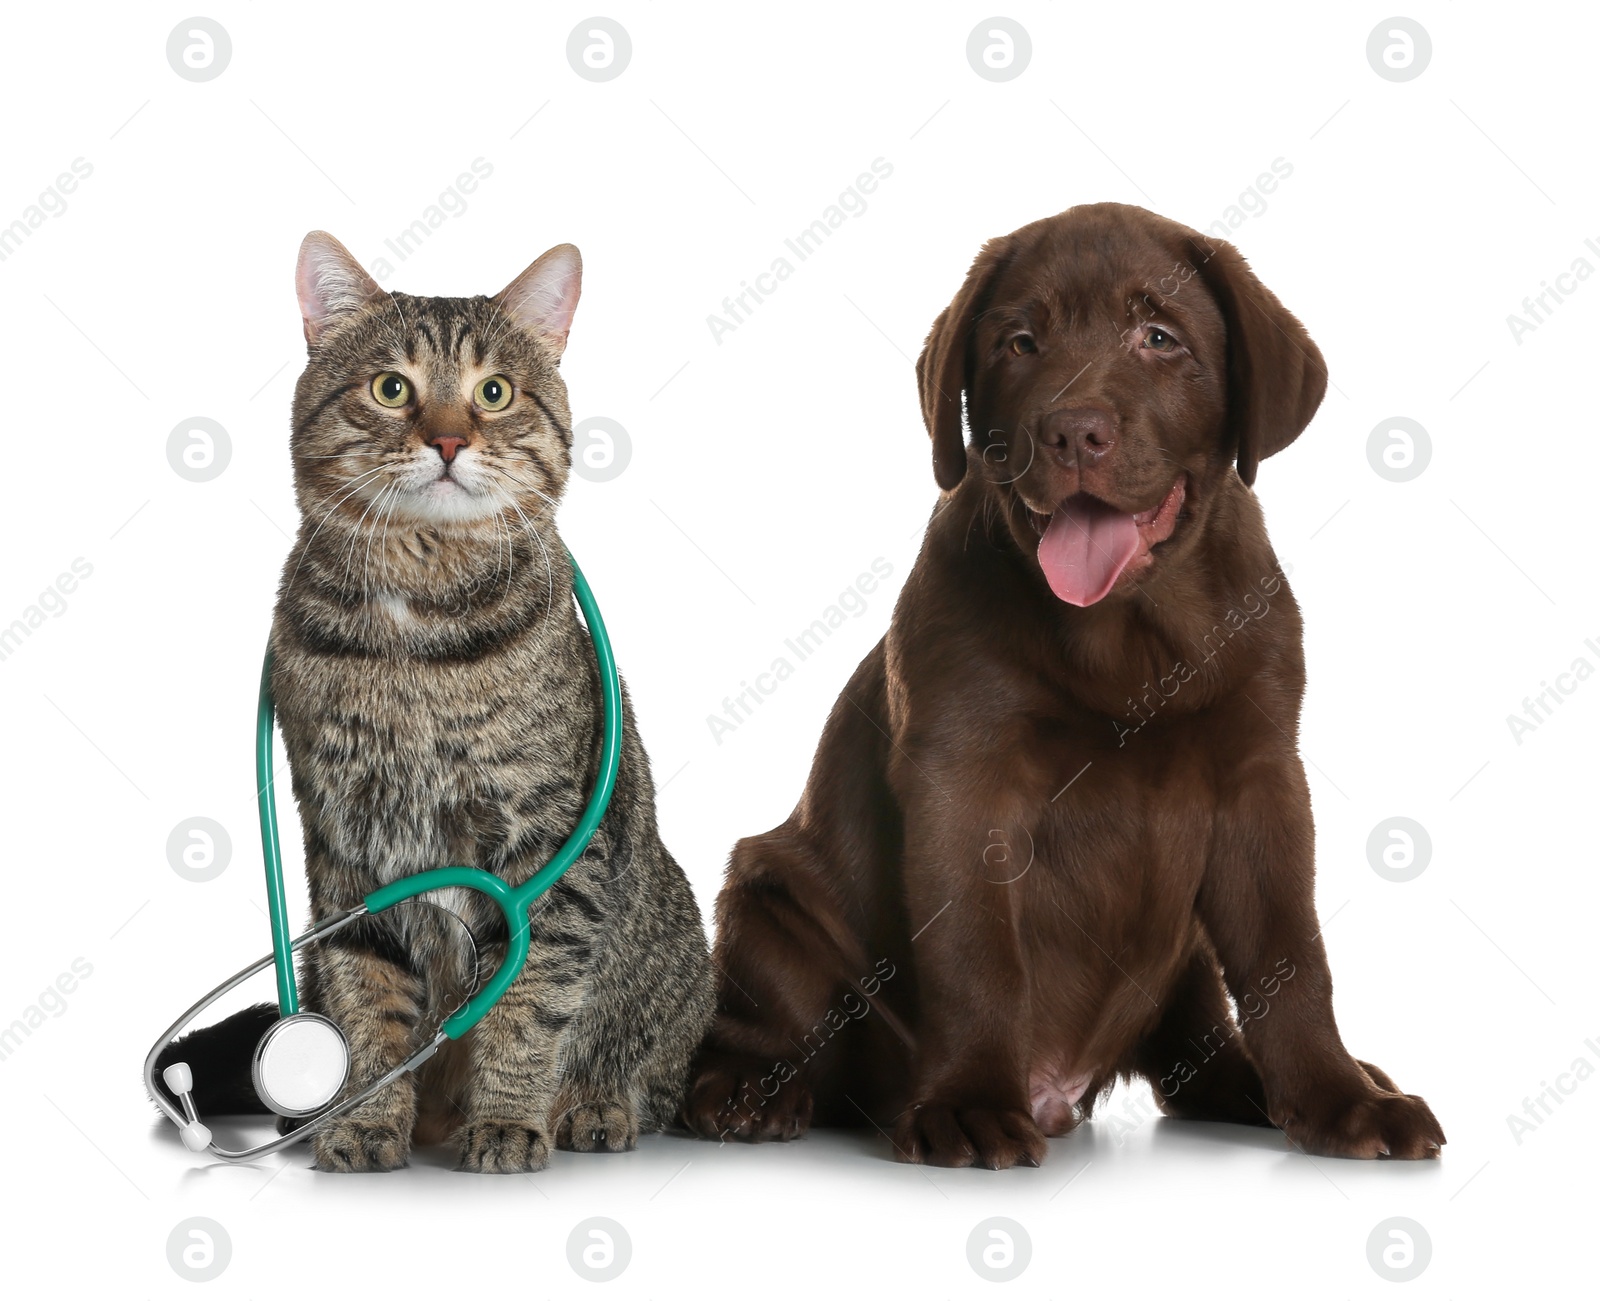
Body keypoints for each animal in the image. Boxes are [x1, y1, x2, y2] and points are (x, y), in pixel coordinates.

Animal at [165, 233, 710, 1177]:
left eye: (494, 392)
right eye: (393, 388)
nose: (451, 439)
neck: (415, 624)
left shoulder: (549, 846)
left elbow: (529, 999)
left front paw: (508, 1121)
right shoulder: (344, 848)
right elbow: (366, 998)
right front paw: (363, 1121)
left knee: (649, 1064)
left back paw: (593, 1106)